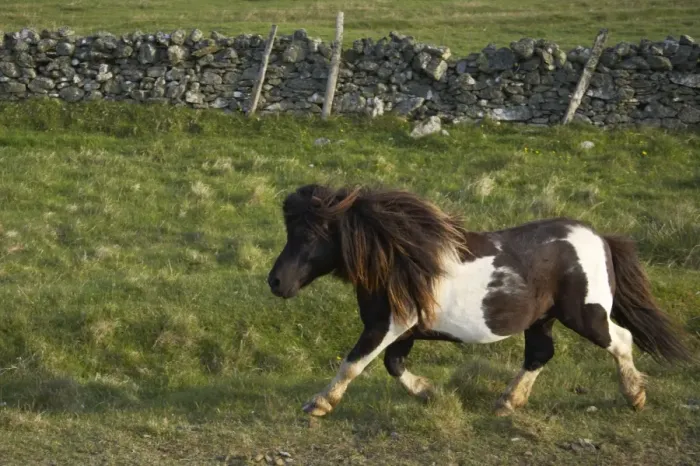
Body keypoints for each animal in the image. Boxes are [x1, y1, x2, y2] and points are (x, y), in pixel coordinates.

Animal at [266, 184, 693, 417]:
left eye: (309, 235)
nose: (275, 282)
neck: (398, 258)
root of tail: (600, 238)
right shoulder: (403, 329)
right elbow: (393, 365)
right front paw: (430, 392)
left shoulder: (386, 325)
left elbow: (353, 363)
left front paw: (319, 404)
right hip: (542, 318)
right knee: (540, 354)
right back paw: (507, 402)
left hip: (586, 314)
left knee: (621, 340)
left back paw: (635, 396)